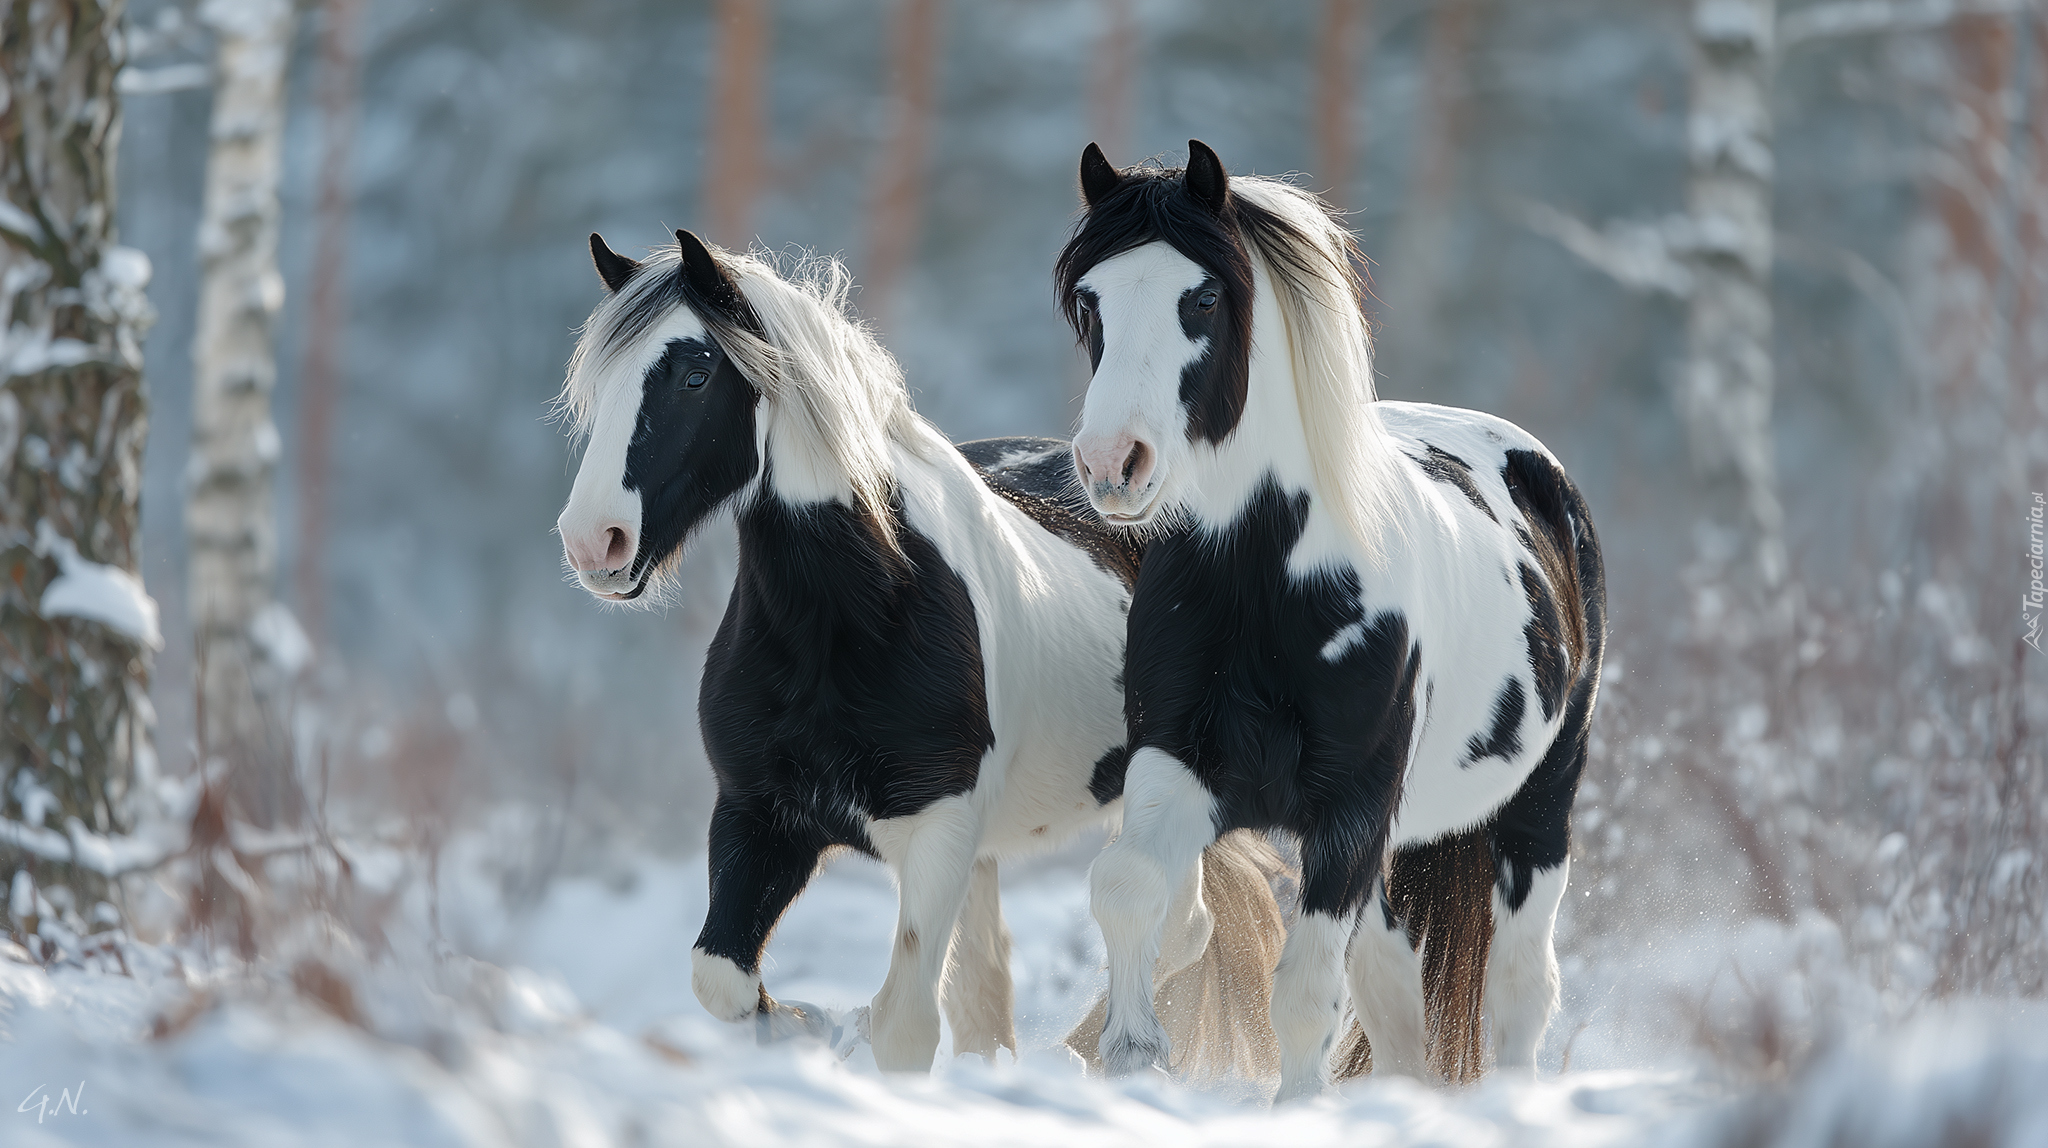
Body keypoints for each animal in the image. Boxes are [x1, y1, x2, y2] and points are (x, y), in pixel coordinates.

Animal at [552, 228, 1287, 1075]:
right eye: (595, 387)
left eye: (696, 374)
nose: (593, 543)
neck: (846, 624)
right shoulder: (758, 813)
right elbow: (722, 980)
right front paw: (804, 1025)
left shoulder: (937, 830)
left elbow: (904, 1027)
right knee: (996, 985)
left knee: (1179, 926)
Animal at [1058, 141, 1607, 1101]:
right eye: (1090, 299)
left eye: (1203, 298)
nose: (1112, 464)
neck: (1267, 579)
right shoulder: (1181, 762)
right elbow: (1129, 886)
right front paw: (1132, 1053)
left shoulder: (1351, 806)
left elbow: (1307, 989)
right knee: (1395, 998)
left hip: (1540, 805)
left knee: (1519, 987)